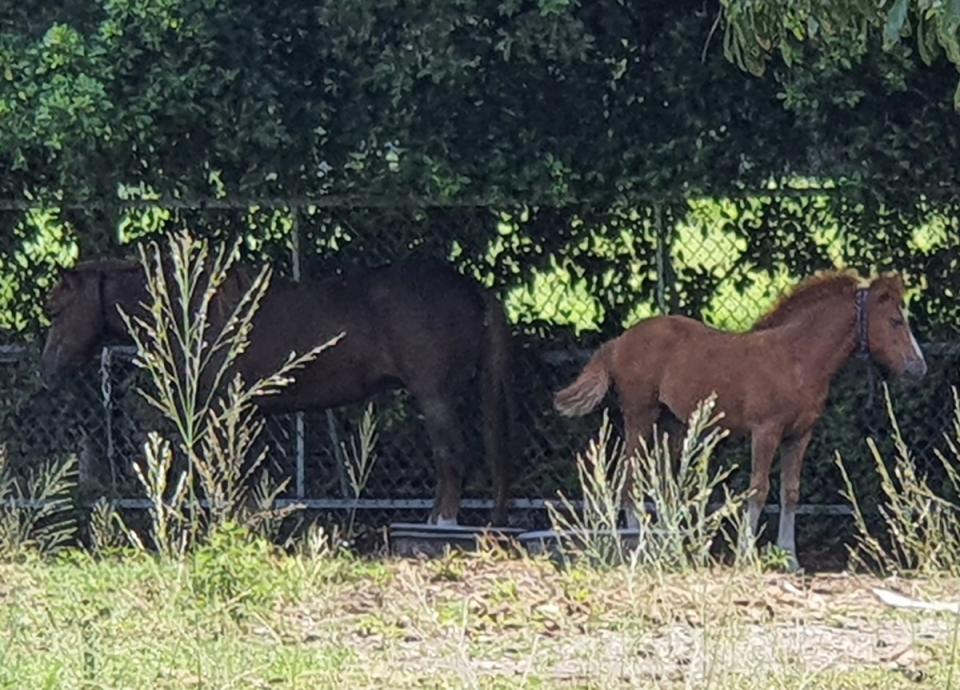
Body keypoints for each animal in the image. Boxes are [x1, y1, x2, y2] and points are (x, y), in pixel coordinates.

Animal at [40, 256, 512, 520]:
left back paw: (441, 523)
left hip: (435, 399)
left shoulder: (222, 410)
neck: (197, 310)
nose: (46, 369)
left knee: (451, 458)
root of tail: (471, 288)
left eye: (58, 310)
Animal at [556, 268, 928, 564]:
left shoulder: (799, 435)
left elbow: (790, 492)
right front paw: (747, 554)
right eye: (895, 321)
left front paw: (789, 557)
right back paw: (640, 545)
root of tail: (618, 342)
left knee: (661, 481)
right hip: (640, 415)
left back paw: (670, 543)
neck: (797, 358)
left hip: (671, 422)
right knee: (630, 479)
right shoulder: (765, 431)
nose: (919, 369)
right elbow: (758, 489)